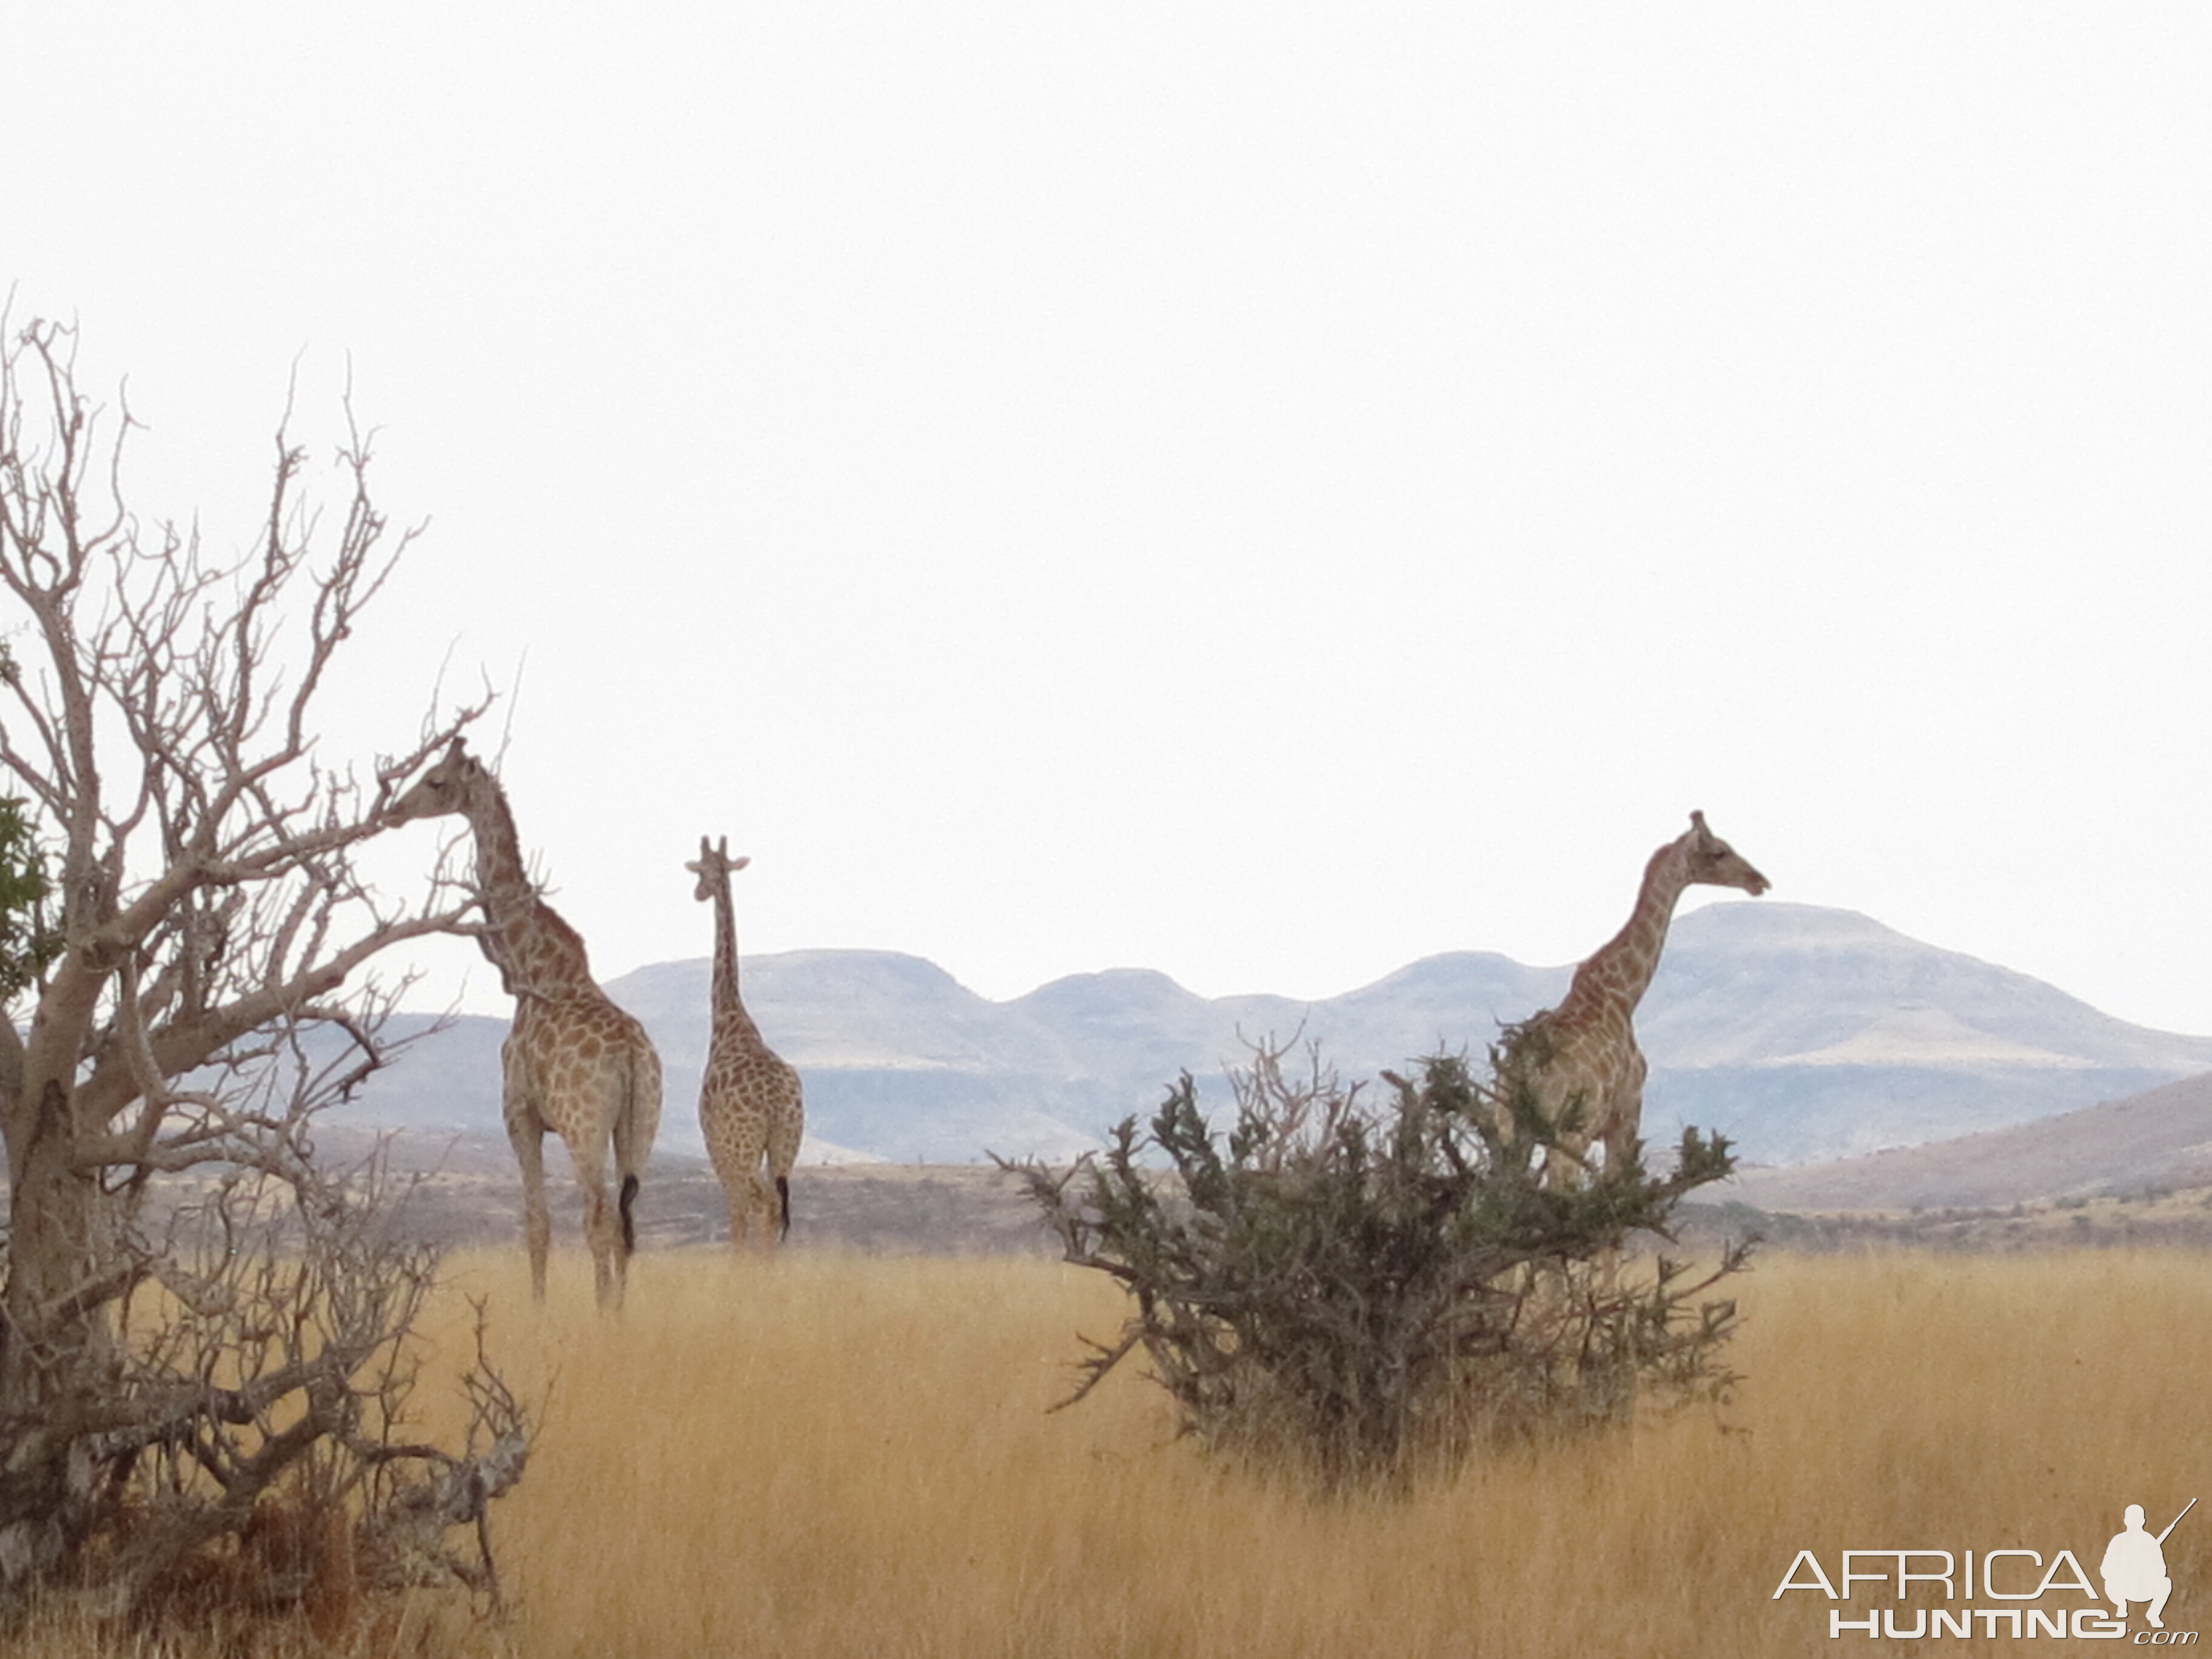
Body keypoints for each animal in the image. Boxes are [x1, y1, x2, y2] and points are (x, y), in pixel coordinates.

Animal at [384, 743, 659, 1309]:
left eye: (436, 780)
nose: (393, 812)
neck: (533, 970)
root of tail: (632, 1055)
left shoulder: (520, 1113)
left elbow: (537, 1222)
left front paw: (538, 1311)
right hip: (640, 1123)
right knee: (628, 1223)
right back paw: (620, 1314)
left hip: (585, 1125)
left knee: (599, 1217)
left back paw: (603, 1316)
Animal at [685, 836, 809, 1256]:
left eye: (702, 871)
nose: (698, 893)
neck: (728, 1020)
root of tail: (775, 1100)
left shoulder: (714, 1139)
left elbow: (735, 1209)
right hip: (787, 1139)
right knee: (776, 1203)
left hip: (743, 1142)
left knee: (760, 1199)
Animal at [1495, 814, 1769, 1185]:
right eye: (1719, 852)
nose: (1759, 881)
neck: (1623, 998)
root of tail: (1520, 1070)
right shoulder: (1626, 1117)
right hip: (1568, 1134)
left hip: (1508, 1129)